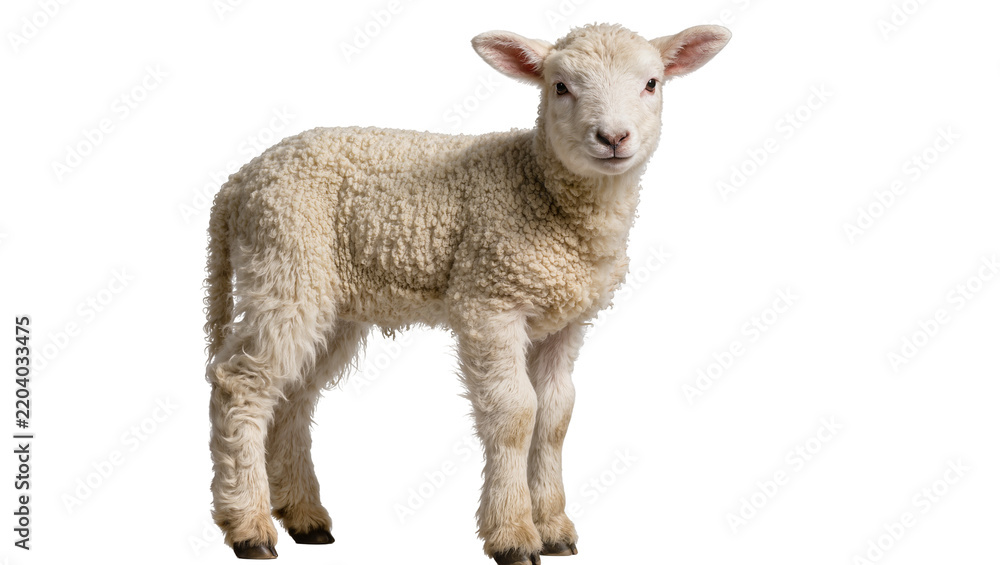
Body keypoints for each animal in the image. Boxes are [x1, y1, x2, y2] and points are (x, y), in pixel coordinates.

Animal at [204, 22, 730, 563]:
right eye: (560, 87)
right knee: (241, 385)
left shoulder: (565, 320)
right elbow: (516, 413)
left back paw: (304, 516)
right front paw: (514, 532)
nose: (613, 138)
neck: (541, 190)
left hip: (328, 298)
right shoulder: (490, 300)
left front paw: (554, 527)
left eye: (651, 83)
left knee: (292, 395)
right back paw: (248, 526)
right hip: (284, 261)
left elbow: (555, 416)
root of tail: (239, 182)